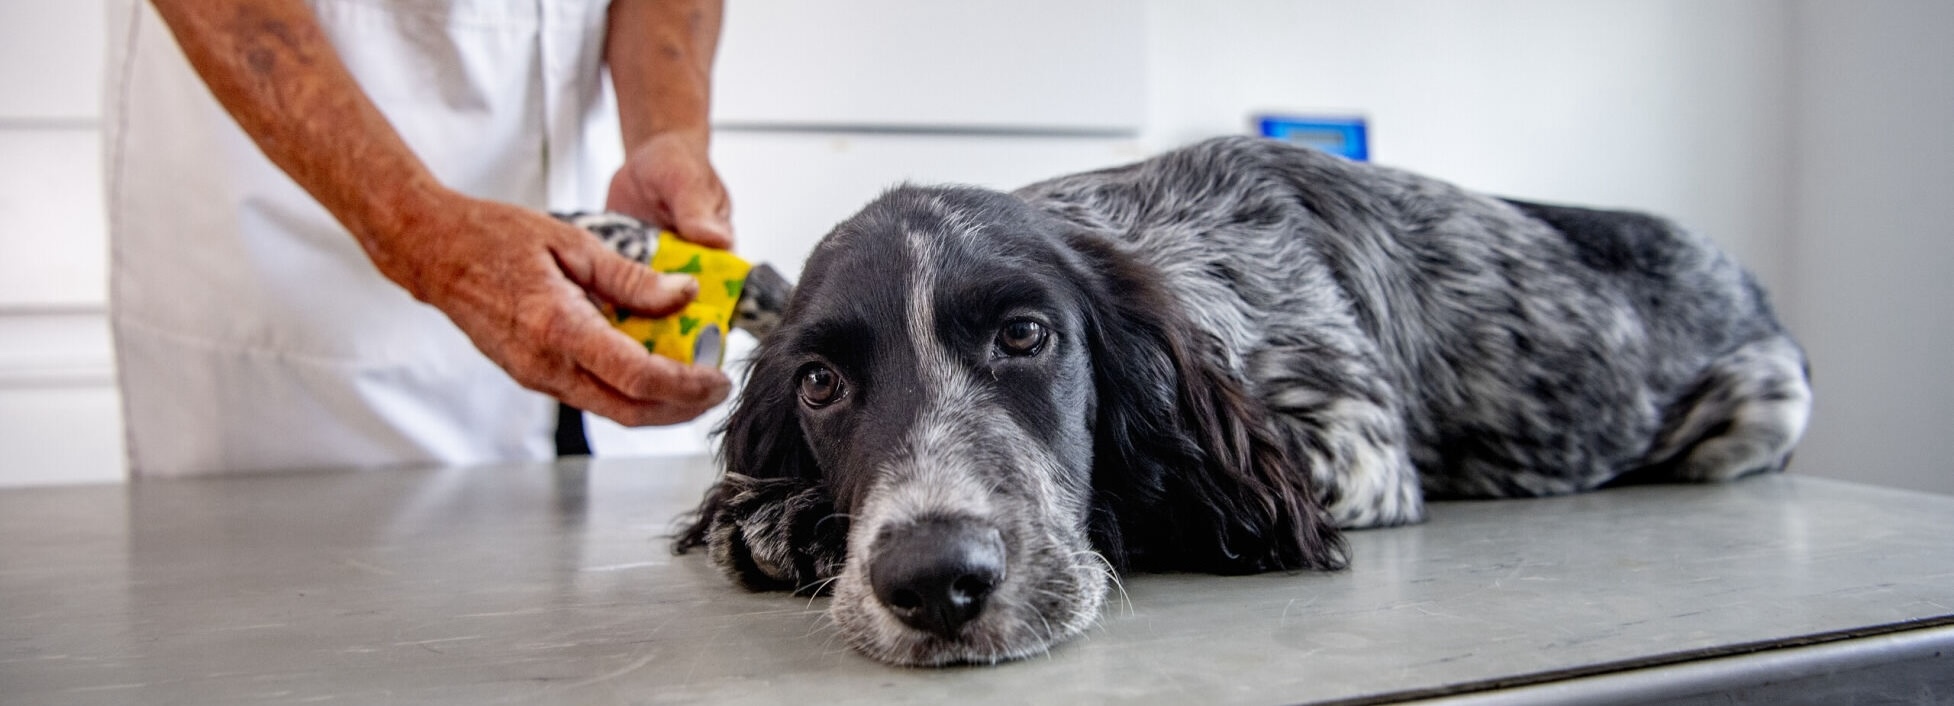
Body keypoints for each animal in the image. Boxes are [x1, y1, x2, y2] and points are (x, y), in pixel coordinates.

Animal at [664, 135, 1805, 664]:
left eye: (1025, 335)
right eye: (820, 383)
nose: (937, 580)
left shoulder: (1354, 447)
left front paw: (789, 522)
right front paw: (774, 512)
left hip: (1766, 405)